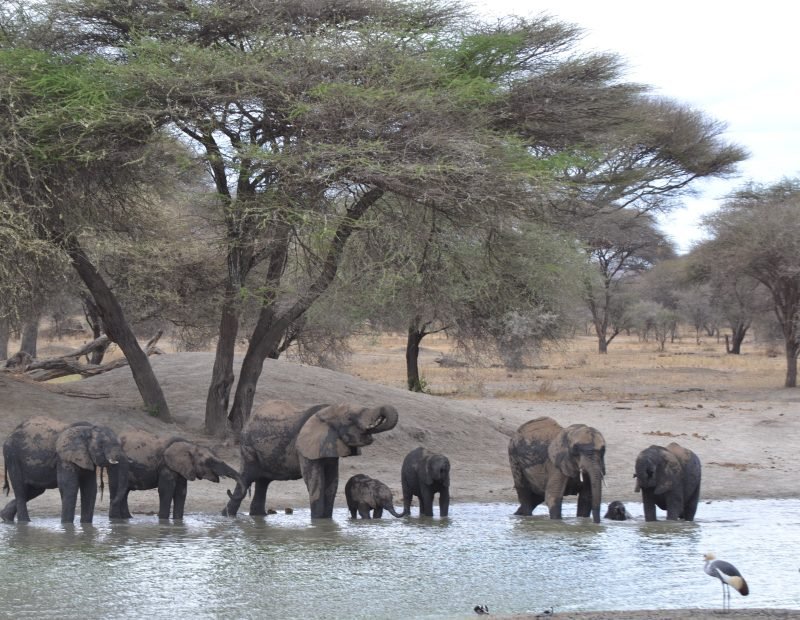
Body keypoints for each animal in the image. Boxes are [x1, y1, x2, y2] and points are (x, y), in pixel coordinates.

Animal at [108, 429, 243, 520]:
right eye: (209, 462)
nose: (228, 490)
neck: (190, 446)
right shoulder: (166, 466)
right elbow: (166, 491)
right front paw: (163, 521)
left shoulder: (182, 468)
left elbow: (181, 492)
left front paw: (178, 521)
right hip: (115, 465)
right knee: (116, 489)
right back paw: (115, 519)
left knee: (124, 492)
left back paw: (126, 519)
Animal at [223, 400, 398, 519]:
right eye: (350, 418)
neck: (327, 411)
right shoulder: (304, 448)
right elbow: (316, 480)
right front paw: (317, 522)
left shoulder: (330, 445)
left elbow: (332, 482)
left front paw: (326, 521)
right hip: (249, 449)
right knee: (246, 478)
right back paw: (228, 515)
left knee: (262, 483)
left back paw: (254, 516)